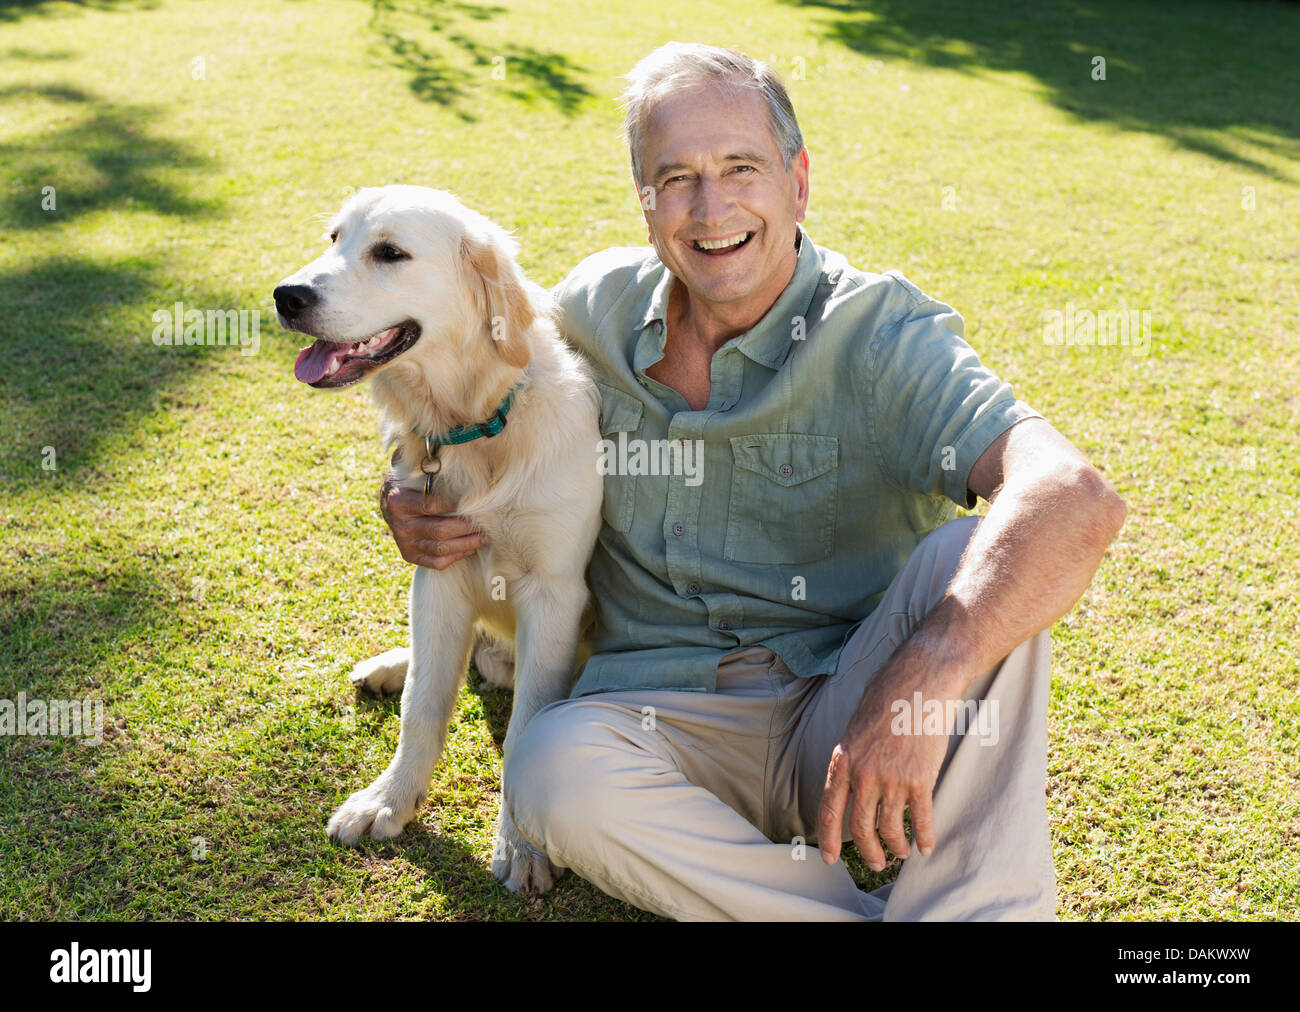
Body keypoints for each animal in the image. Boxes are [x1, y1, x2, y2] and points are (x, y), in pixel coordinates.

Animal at [273, 183, 603, 889]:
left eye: (391, 253)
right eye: (334, 238)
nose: (286, 295)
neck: (478, 425)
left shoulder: (555, 593)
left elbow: (527, 726)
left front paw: (522, 844)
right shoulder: (438, 571)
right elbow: (422, 706)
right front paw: (389, 800)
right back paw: (389, 665)